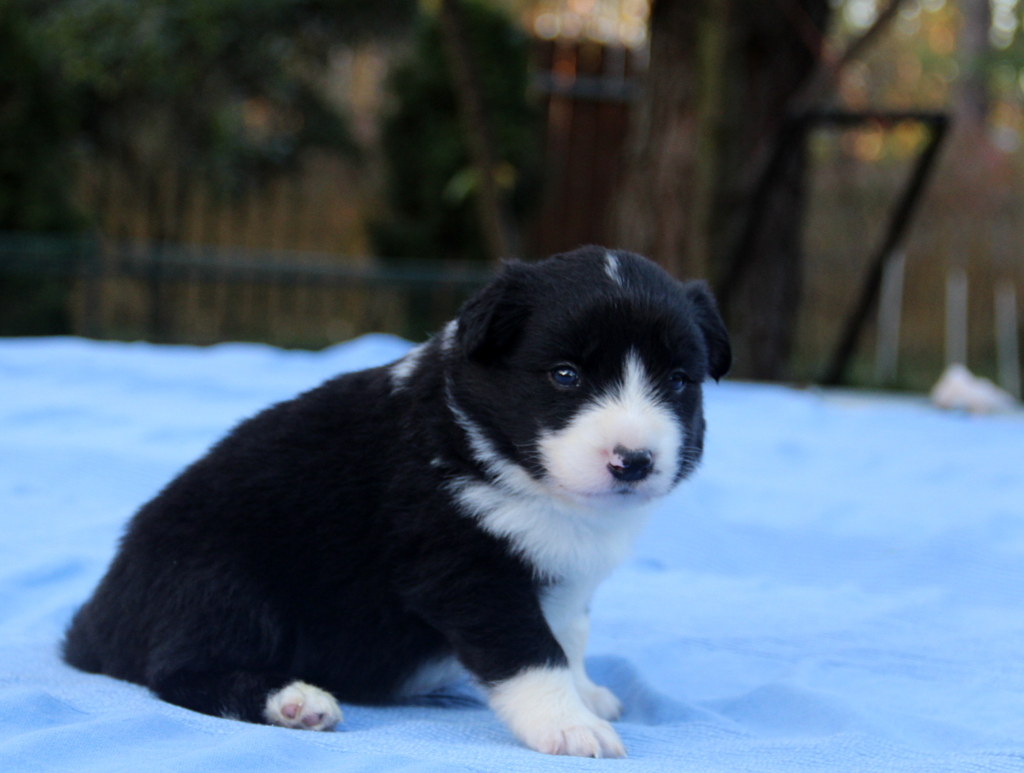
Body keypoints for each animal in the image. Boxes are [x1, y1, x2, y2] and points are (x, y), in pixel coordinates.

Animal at [63, 246, 731, 758]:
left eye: (678, 381)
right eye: (566, 375)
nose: (634, 461)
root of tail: (93, 625)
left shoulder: (559, 571)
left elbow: (568, 632)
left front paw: (585, 693)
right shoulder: (463, 569)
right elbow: (530, 650)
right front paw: (567, 724)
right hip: (218, 580)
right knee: (176, 673)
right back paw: (294, 701)